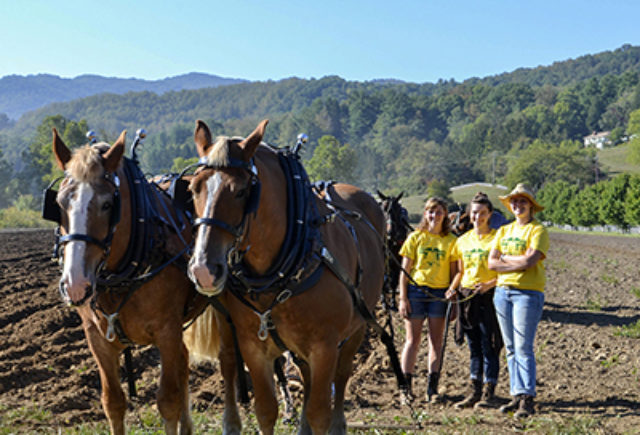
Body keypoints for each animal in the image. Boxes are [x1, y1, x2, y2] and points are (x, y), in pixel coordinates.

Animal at [48, 130, 212, 435]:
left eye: (107, 204)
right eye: (60, 204)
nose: (75, 284)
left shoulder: (167, 332)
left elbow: (168, 401)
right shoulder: (96, 336)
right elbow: (112, 401)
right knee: (184, 365)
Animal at [185, 120, 384, 435]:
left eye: (241, 191)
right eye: (193, 188)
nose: (203, 269)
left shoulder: (325, 347)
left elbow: (319, 413)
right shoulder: (253, 347)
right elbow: (266, 411)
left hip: (359, 327)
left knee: (341, 377)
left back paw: (339, 422)